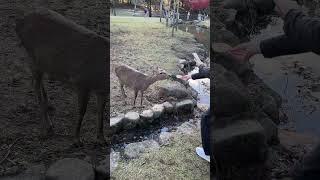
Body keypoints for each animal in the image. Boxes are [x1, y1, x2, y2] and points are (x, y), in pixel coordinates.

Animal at [15, 8, 109, 145]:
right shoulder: (81, 82)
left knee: (38, 82)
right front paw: (76, 139)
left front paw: (102, 138)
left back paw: (48, 104)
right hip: (33, 57)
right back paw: (49, 126)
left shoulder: (101, 90)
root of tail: (18, 23)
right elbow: (82, 110)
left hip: (42, 62)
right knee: (35, 86)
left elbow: (101, 111)